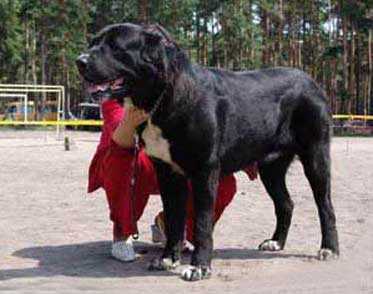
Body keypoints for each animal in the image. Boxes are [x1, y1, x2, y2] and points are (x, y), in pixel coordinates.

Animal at [75, 22, 338, 280]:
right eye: (93, 42)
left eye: (115, 46)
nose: (80, 60)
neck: (163, 96)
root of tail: (311, 81)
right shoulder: (168, 172)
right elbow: (174, 218)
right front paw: (168, 259)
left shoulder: (204, 170)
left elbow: (202, 223)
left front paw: (199, 267)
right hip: (271, 167)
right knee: (286, 203)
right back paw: (276, 242)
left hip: (316, 156)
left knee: (324, 204)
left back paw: (329, 248)